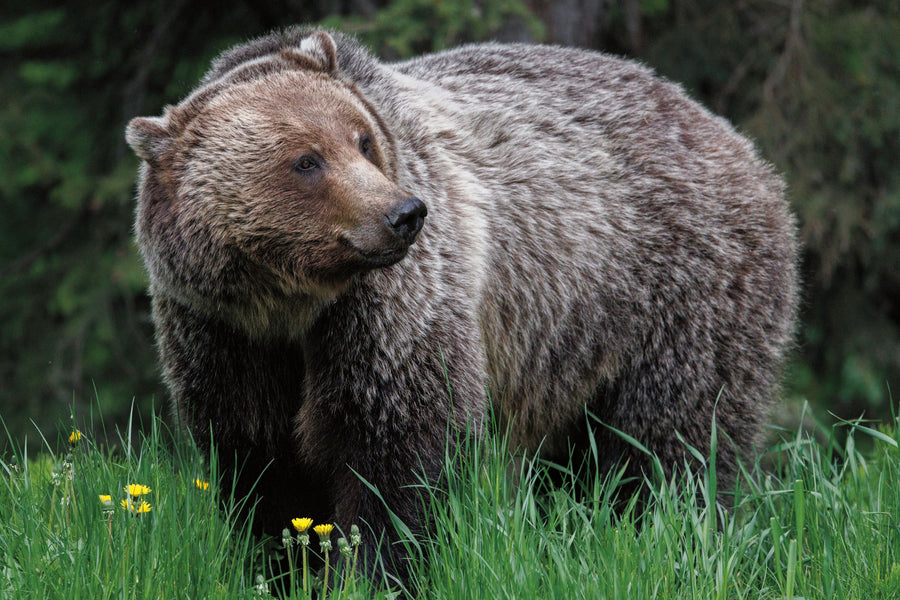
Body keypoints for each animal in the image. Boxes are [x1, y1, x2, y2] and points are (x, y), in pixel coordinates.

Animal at [125, 27, 798, 583]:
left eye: (362, 140)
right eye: (306, 160)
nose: (403, 214)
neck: (292, 304)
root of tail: (728, 134)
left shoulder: (390, 313)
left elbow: (399, 448)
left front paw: (374, 571)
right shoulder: (222, 334)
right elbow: (260, 464)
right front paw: (284, 567)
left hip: (674, 291)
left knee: (672, 443)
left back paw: (673, 535)